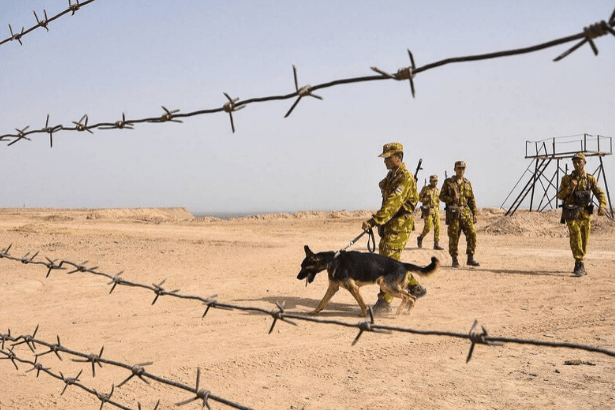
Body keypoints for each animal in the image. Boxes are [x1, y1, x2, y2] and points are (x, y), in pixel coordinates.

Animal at [298, 245, 438, 318]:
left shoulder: (353, 288)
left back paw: (404, 311)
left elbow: (361, 303)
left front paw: (365, 314)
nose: (297, 277)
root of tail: (402, 264)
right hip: (390, 287)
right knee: (409, 296)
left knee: (409, 296)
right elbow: (322, 301)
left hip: (386, 286)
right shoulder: (333, 288)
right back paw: (404, 311)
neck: (332, 260)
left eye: (304, 267)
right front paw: (315, 312)